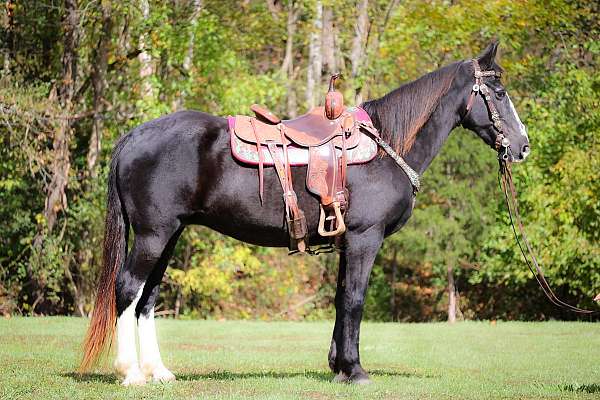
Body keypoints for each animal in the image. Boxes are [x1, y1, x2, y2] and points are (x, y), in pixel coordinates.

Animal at [79, 41, 528, 384]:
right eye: (499, 94)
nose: (523, 146)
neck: (386, 148)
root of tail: (135, 135)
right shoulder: (365, 239)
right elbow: (355, 299)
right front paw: (355, 370)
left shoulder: (348, 242)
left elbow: (341, 299)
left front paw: (339, 366)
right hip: (153, 235)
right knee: (128, 289)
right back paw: (131, 372)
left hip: (169, 235)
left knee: (148, 297)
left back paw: (158, 371)